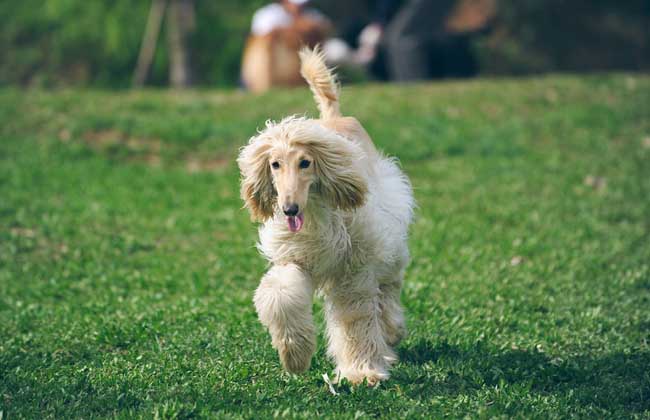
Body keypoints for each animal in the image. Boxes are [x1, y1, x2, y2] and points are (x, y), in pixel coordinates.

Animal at [235, 47, 412, 386]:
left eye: (305, 162)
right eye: (275, 164)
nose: (290, 209)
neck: (315, 212)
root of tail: (332, 118)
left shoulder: (353, 266)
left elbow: (354, 315)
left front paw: (362, 371)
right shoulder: (297, 256)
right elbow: (280, 294)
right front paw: (294, 354)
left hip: (388, 233)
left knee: (388, 285)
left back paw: (391, 330)